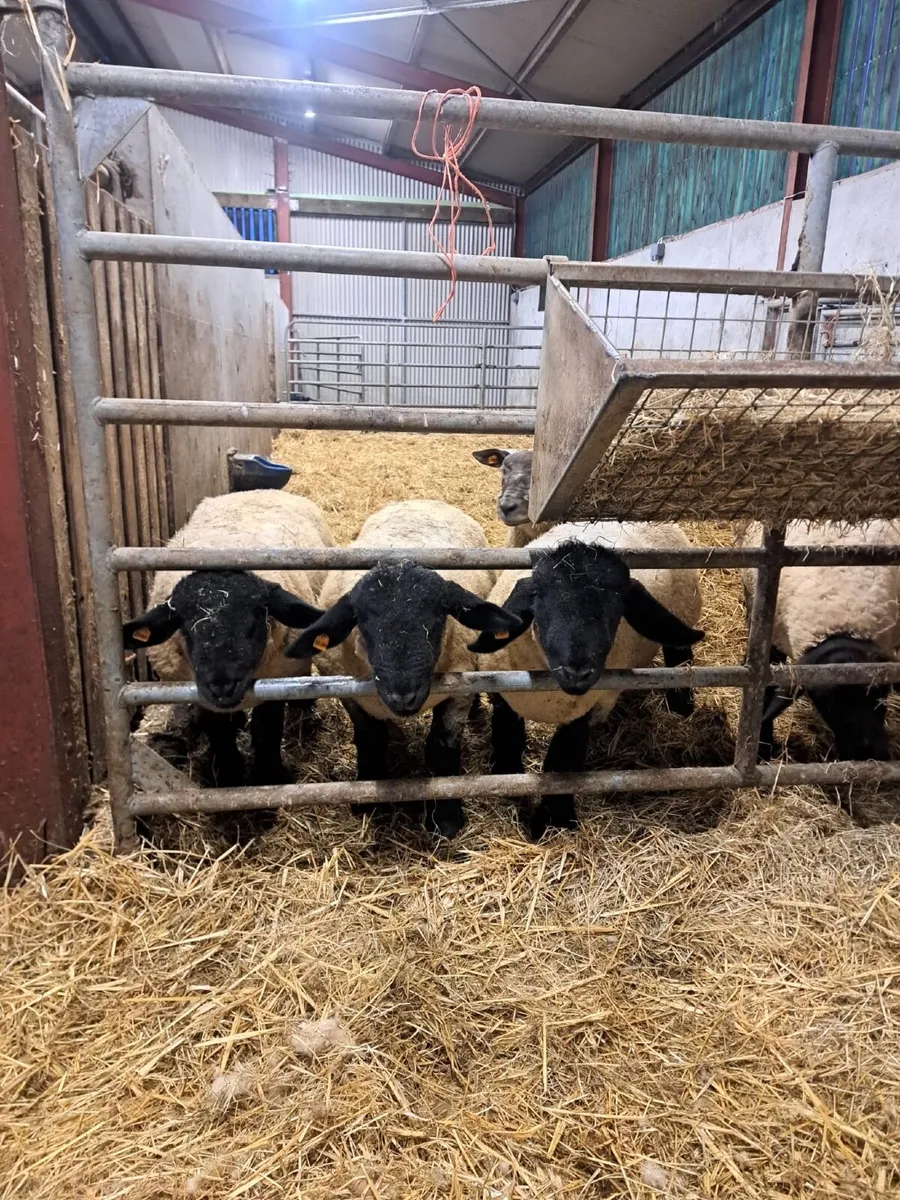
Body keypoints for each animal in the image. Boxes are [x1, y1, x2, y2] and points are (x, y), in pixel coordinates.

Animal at [122, 490, 331, 815]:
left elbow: (267, 729)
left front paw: (267, 776)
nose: (222, 685)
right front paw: (228, 774)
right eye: (185, 625)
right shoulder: (199, 691)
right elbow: (217, 729)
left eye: (257, 617)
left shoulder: (275, 680)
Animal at [285, 500, 522, 838]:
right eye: (363, 622)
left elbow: (442, 747)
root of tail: (423, 501)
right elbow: (369, 739)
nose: (403, 696)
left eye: (438, 618)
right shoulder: (349, 694)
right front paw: (367, 799)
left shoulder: (458, 692)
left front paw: (446, 818)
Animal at [471, 521, 703, 839]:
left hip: (684, 608)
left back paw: (681, 704)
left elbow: (561, 762)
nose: (577, 673)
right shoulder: (503, 696)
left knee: (679, 652)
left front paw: (554, 819)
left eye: (616, 610)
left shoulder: (587, 711)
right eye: (541, 602)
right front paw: (505, 776)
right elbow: (508, 736)